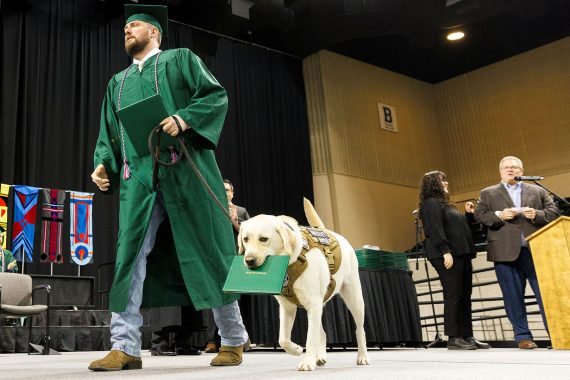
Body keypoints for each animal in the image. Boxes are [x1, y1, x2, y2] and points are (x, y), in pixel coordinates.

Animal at [236, 197, 366, 370]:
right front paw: (297, 349)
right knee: (322, 333)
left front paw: (307, 362)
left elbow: (310, 338)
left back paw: (362, 356)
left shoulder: (313, 304)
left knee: (359, 329)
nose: (249, 260)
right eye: (245, 239)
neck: (290, 262)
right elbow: (283, 339)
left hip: (353, 298)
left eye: (263, 239)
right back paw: (320, 357)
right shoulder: (287, 307)